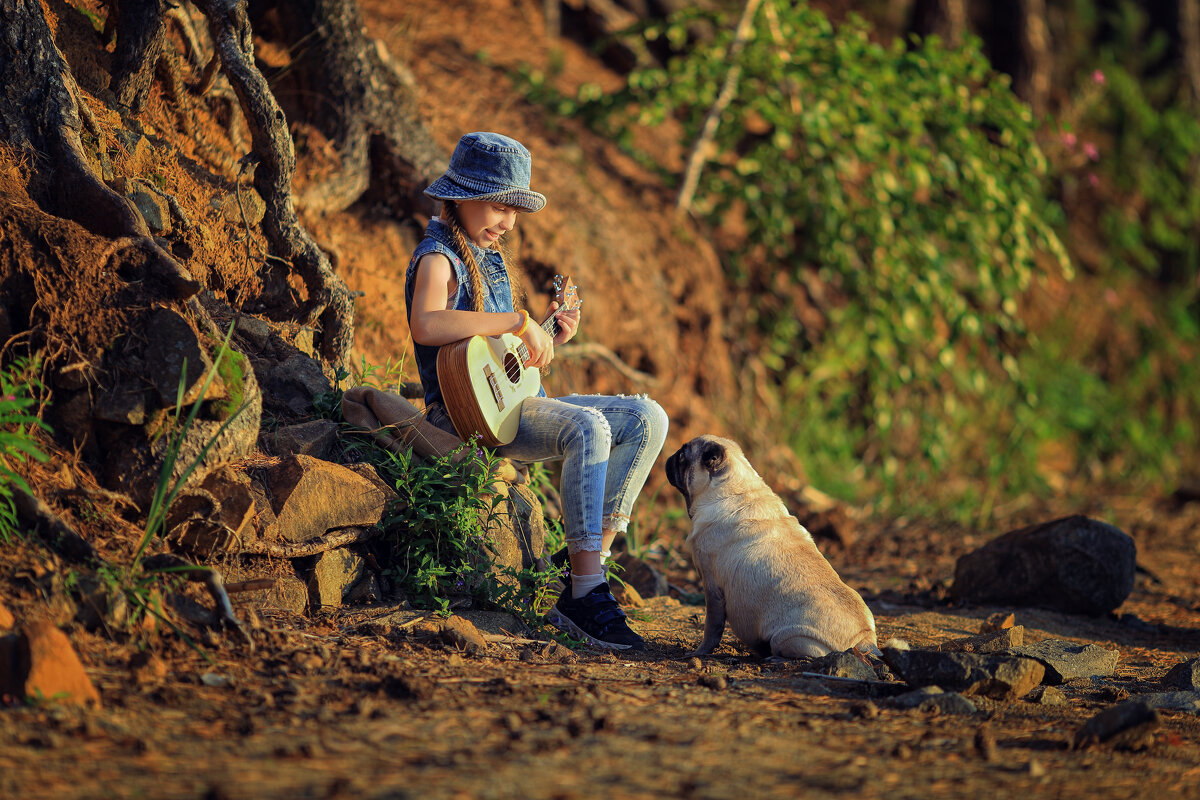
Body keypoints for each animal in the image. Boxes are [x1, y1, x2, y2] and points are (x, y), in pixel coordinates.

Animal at [662, 434, 878, 662]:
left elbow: (711, 629)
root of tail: (865, 640)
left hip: (788, 639)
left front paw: (699, 652)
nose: (671, 457)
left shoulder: (711, 586)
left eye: (683, 456)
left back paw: (775, 657)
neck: (734, 490)